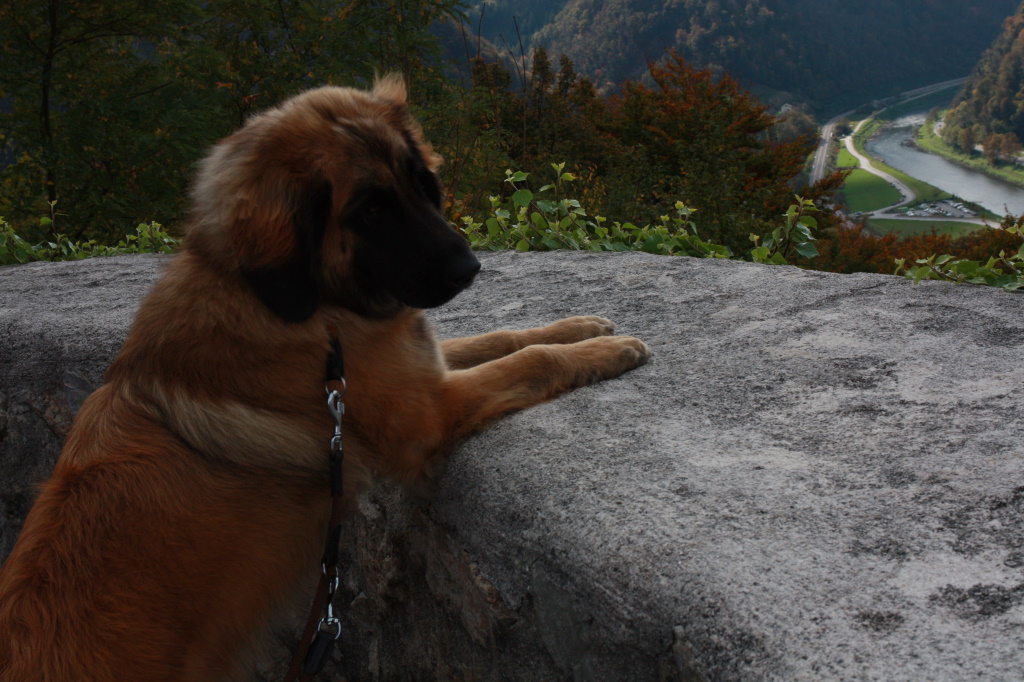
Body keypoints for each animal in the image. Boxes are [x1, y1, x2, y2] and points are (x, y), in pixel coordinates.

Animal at [0, 76, 651, 675]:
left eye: (421, 184)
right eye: (371, 209)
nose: (471, 268)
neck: (306, 306)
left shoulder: (419, 367)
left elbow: (504, 337)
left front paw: (583, 324)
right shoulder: (427, 410)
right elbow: (531, 359)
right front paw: (612, 348)